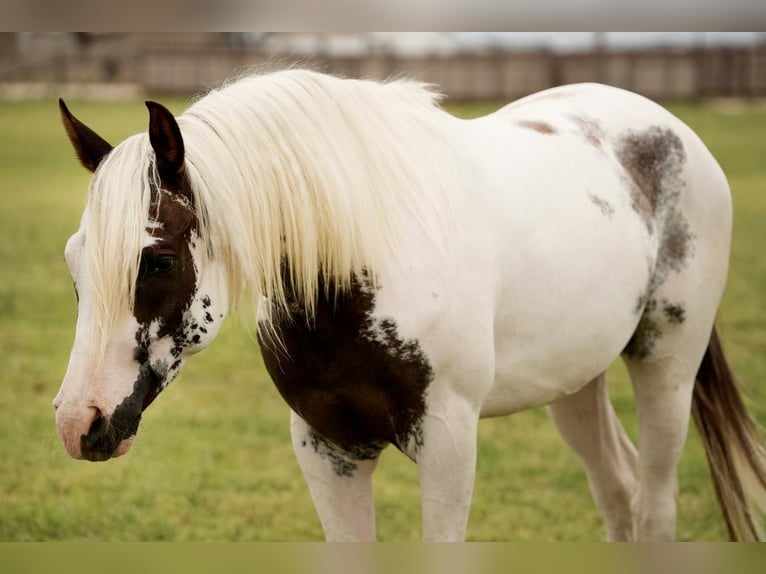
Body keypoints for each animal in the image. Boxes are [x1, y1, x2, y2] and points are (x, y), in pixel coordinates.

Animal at [54, 70, 766, 544]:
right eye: (73, 262)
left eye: (157, 261)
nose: (78, 423)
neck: (360, 263)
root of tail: (670, 129)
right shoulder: (326, 449)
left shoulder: (449, 441)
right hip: (575, 382)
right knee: (618, 492)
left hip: (666, 369)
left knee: (653, 505)